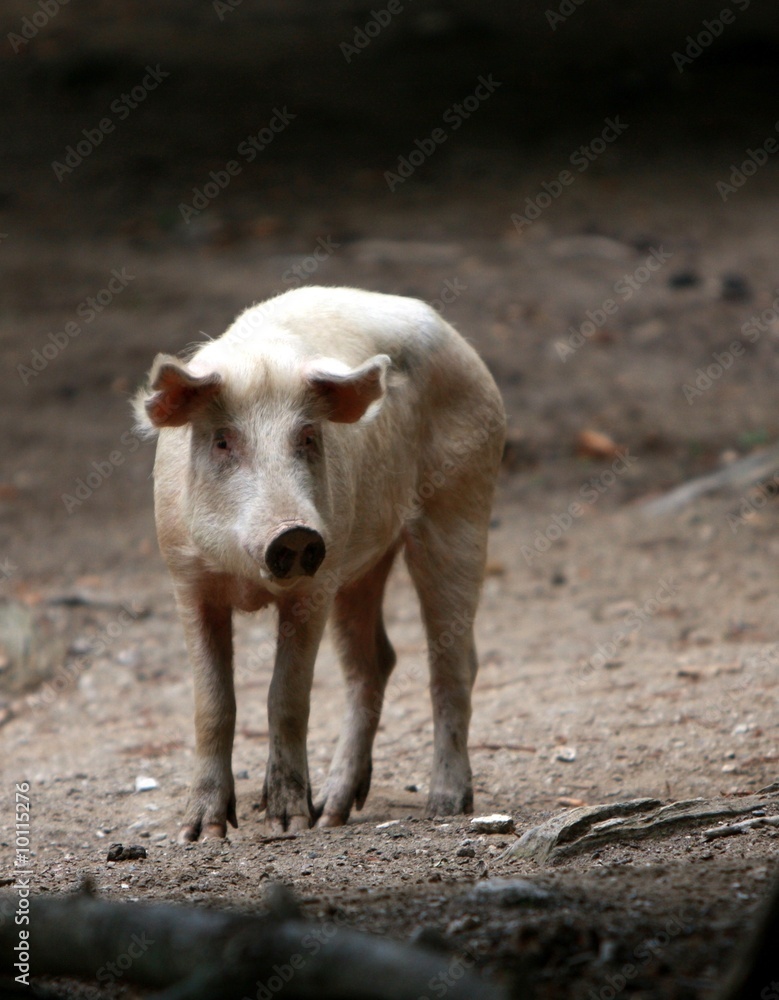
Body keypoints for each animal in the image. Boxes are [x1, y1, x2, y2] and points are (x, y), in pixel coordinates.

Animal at [134, 286, 505, 841]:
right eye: (222, 440)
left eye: (307, 436)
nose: (295, 532)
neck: (250, 583)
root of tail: (464, 347)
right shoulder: (187, 578)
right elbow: (213, 705)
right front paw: (200, 835)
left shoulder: (315, 585)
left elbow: (287, 696)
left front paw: (287, 824)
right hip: (360, 564)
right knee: (375, 663)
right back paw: (333, 811)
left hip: (462, 505)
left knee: (452, 662)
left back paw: (444, 806)